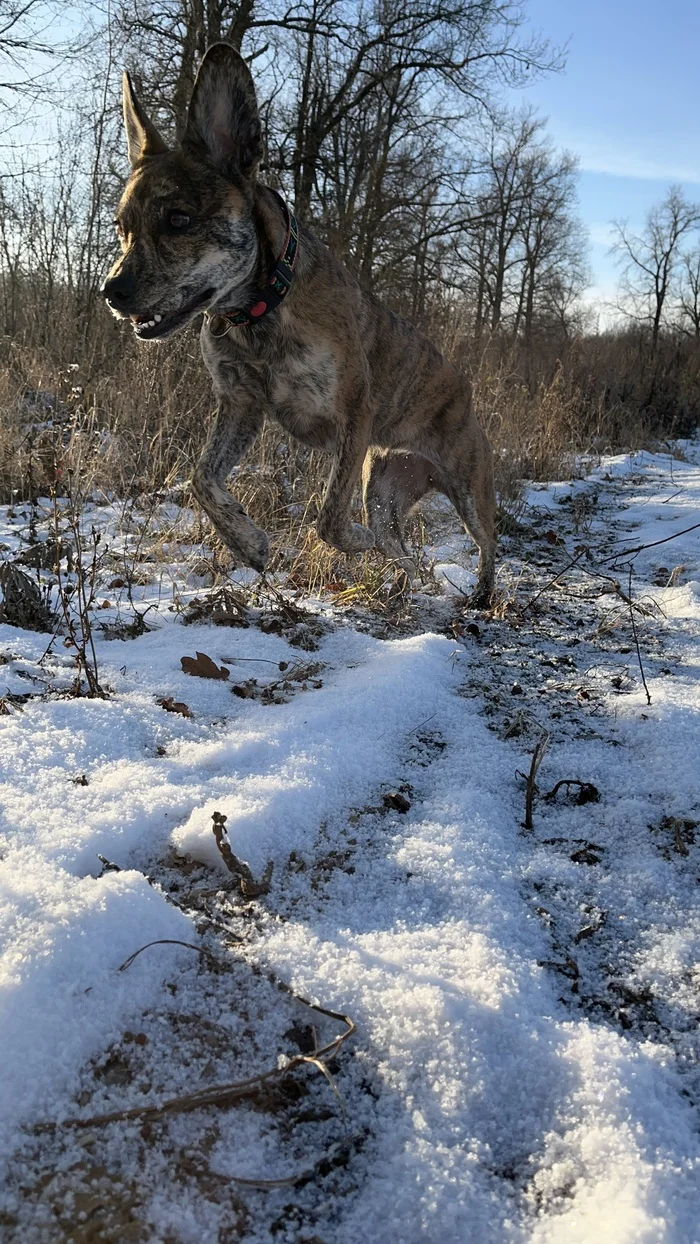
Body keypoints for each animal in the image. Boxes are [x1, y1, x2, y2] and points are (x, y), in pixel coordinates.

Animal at [103, 38, 497, 602]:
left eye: (178, 220)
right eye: (121, 227)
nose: (110, 291)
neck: (258, 312)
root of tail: (464, 390)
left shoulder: (354, 416)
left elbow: (328, 518)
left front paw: (343, 541)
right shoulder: (241, 405)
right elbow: (202, 479)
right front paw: (247, 542)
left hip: (467, 485)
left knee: (489, 543)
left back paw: (483, 593)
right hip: (383, 491)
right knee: (397, 545)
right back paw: (407, 580)